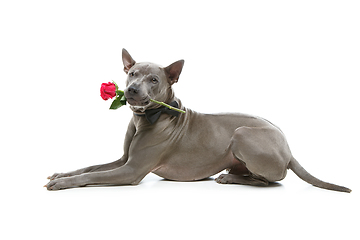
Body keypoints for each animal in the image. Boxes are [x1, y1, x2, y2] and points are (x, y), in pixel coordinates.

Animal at [45, 48, 352, 193]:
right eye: (132, 73)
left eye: (153, 79)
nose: (131, 90)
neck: (152, 116)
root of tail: (288, 148)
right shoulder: (123, 160)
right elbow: (89, 167)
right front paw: (60, 175)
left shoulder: (131, 171)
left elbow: (92, 176)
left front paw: (61, 184)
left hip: (242, 133)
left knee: (270, 181)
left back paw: (229, 178)